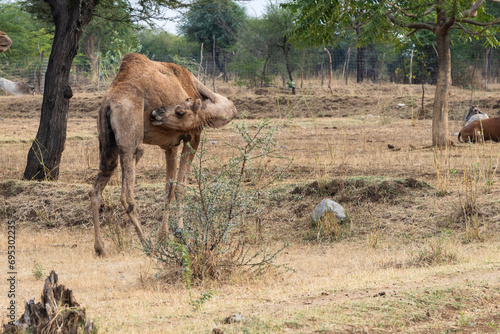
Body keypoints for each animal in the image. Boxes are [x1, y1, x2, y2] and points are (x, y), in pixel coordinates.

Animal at [89, 52, 237, 256]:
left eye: (180, 111)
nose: (156, 113)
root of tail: (108, 103)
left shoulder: (170, 145)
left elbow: (169, 189)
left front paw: (164, 236)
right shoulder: (192, 137)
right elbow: (181, 187)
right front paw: (181, 234)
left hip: (106, 142)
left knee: (96, 188)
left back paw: (100, 247)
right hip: (130, 140)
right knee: (127, 194)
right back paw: (146, 244)